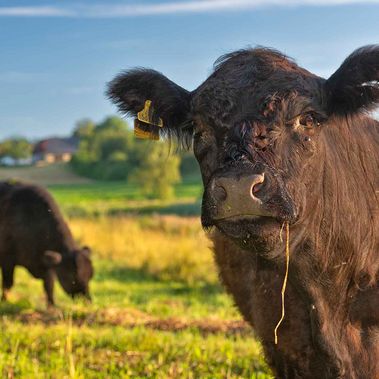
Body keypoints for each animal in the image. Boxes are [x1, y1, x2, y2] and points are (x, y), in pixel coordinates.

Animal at [0, 180, 94, 308]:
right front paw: (4, 301)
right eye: (73, 279)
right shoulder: (7, 259)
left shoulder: (46, 264)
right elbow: (8, 283)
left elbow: (49, 286)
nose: (88, 301)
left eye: (90, 275)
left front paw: (52, 306)